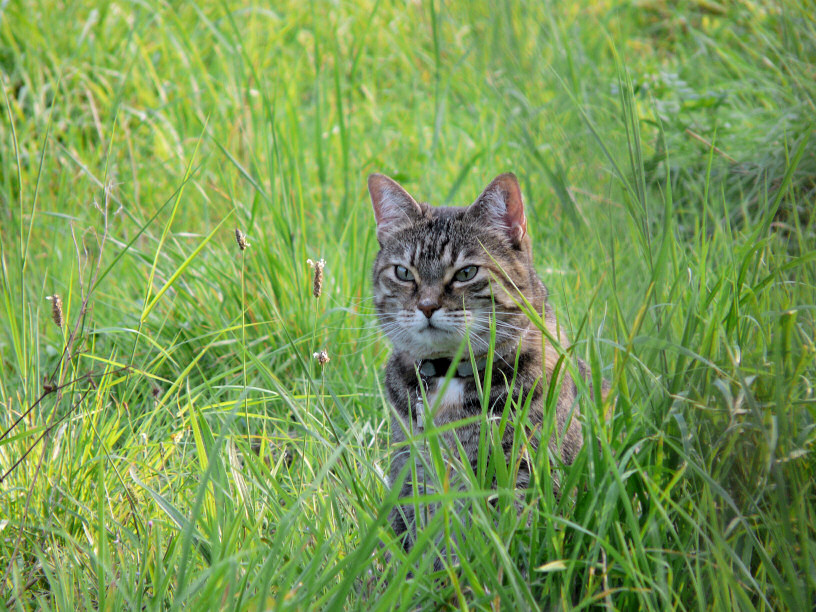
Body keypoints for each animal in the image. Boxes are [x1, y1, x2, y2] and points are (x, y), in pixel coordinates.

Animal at [370, 172, 592, 564]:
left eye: (466, 272)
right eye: (403, 273)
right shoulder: (412, 471)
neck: (448, 375)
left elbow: (511, 542)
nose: (426, 306)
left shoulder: (524, 470)